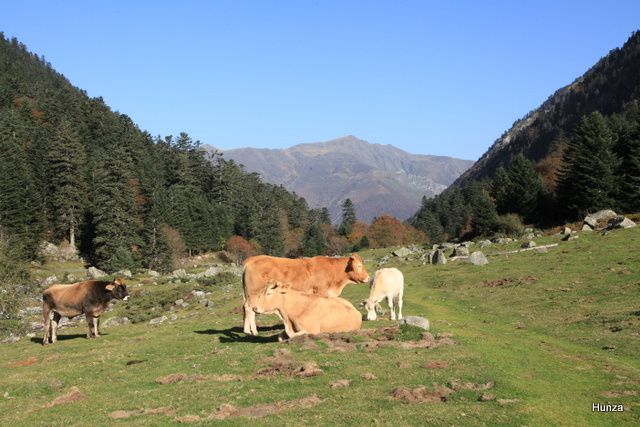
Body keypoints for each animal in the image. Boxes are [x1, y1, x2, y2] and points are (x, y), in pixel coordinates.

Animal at [241, 252, 370, 336]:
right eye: (359, 266)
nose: (368, 278)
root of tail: (251, 260)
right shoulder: (321, 291)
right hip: (254, 293)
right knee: (249, 308)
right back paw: (251, 331)